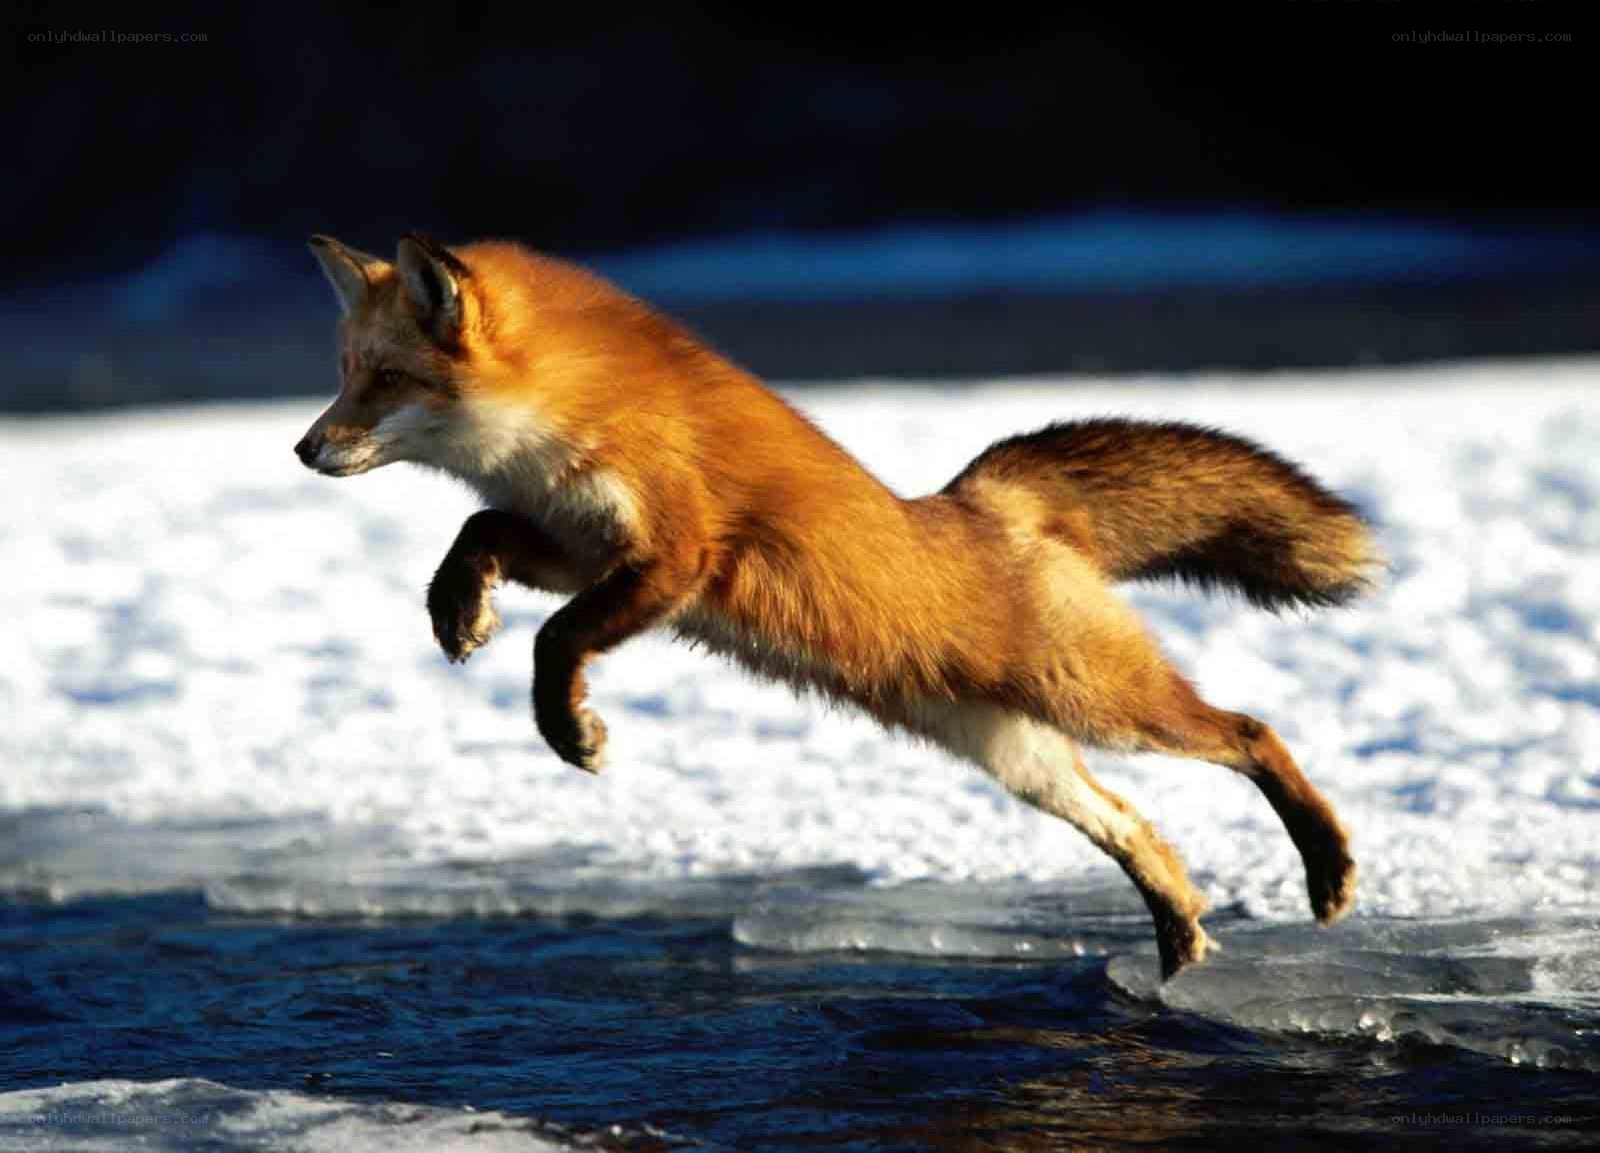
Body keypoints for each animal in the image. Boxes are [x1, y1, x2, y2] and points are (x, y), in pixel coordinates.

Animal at [296, 232, 1379, 980]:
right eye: (344, 373)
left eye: (386, 378)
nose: (304, 449)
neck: (567, 417)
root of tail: (986, 501)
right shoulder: (575, 545)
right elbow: (476, 531)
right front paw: (457, 610)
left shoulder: (675, 555)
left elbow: (556, 643)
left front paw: (571, 731)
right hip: (1020, 755)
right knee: (1138, 831)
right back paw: (1179, 942)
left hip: (1100, 702)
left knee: (1251, 731)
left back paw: (1326, 869)